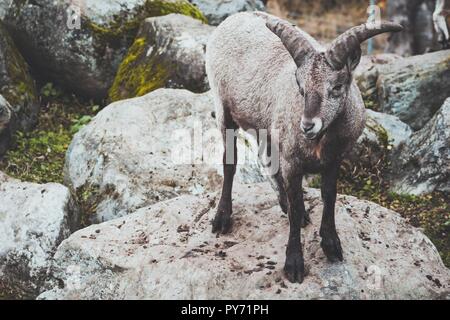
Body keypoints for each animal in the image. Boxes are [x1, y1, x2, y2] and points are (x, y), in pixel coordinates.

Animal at [206, 12, 402, 282]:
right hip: (224, 109)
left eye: (337, 86)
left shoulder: (334, 159)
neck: (320, 142)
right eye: (300, 86)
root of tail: (232, 18)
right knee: (230, 163)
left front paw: (331, 245)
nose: (308, 125)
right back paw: (222, 218)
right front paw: (294, 263)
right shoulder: (292, 163)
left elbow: (329, 196)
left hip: (266, 126)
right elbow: (297, 205)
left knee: (266, 159)